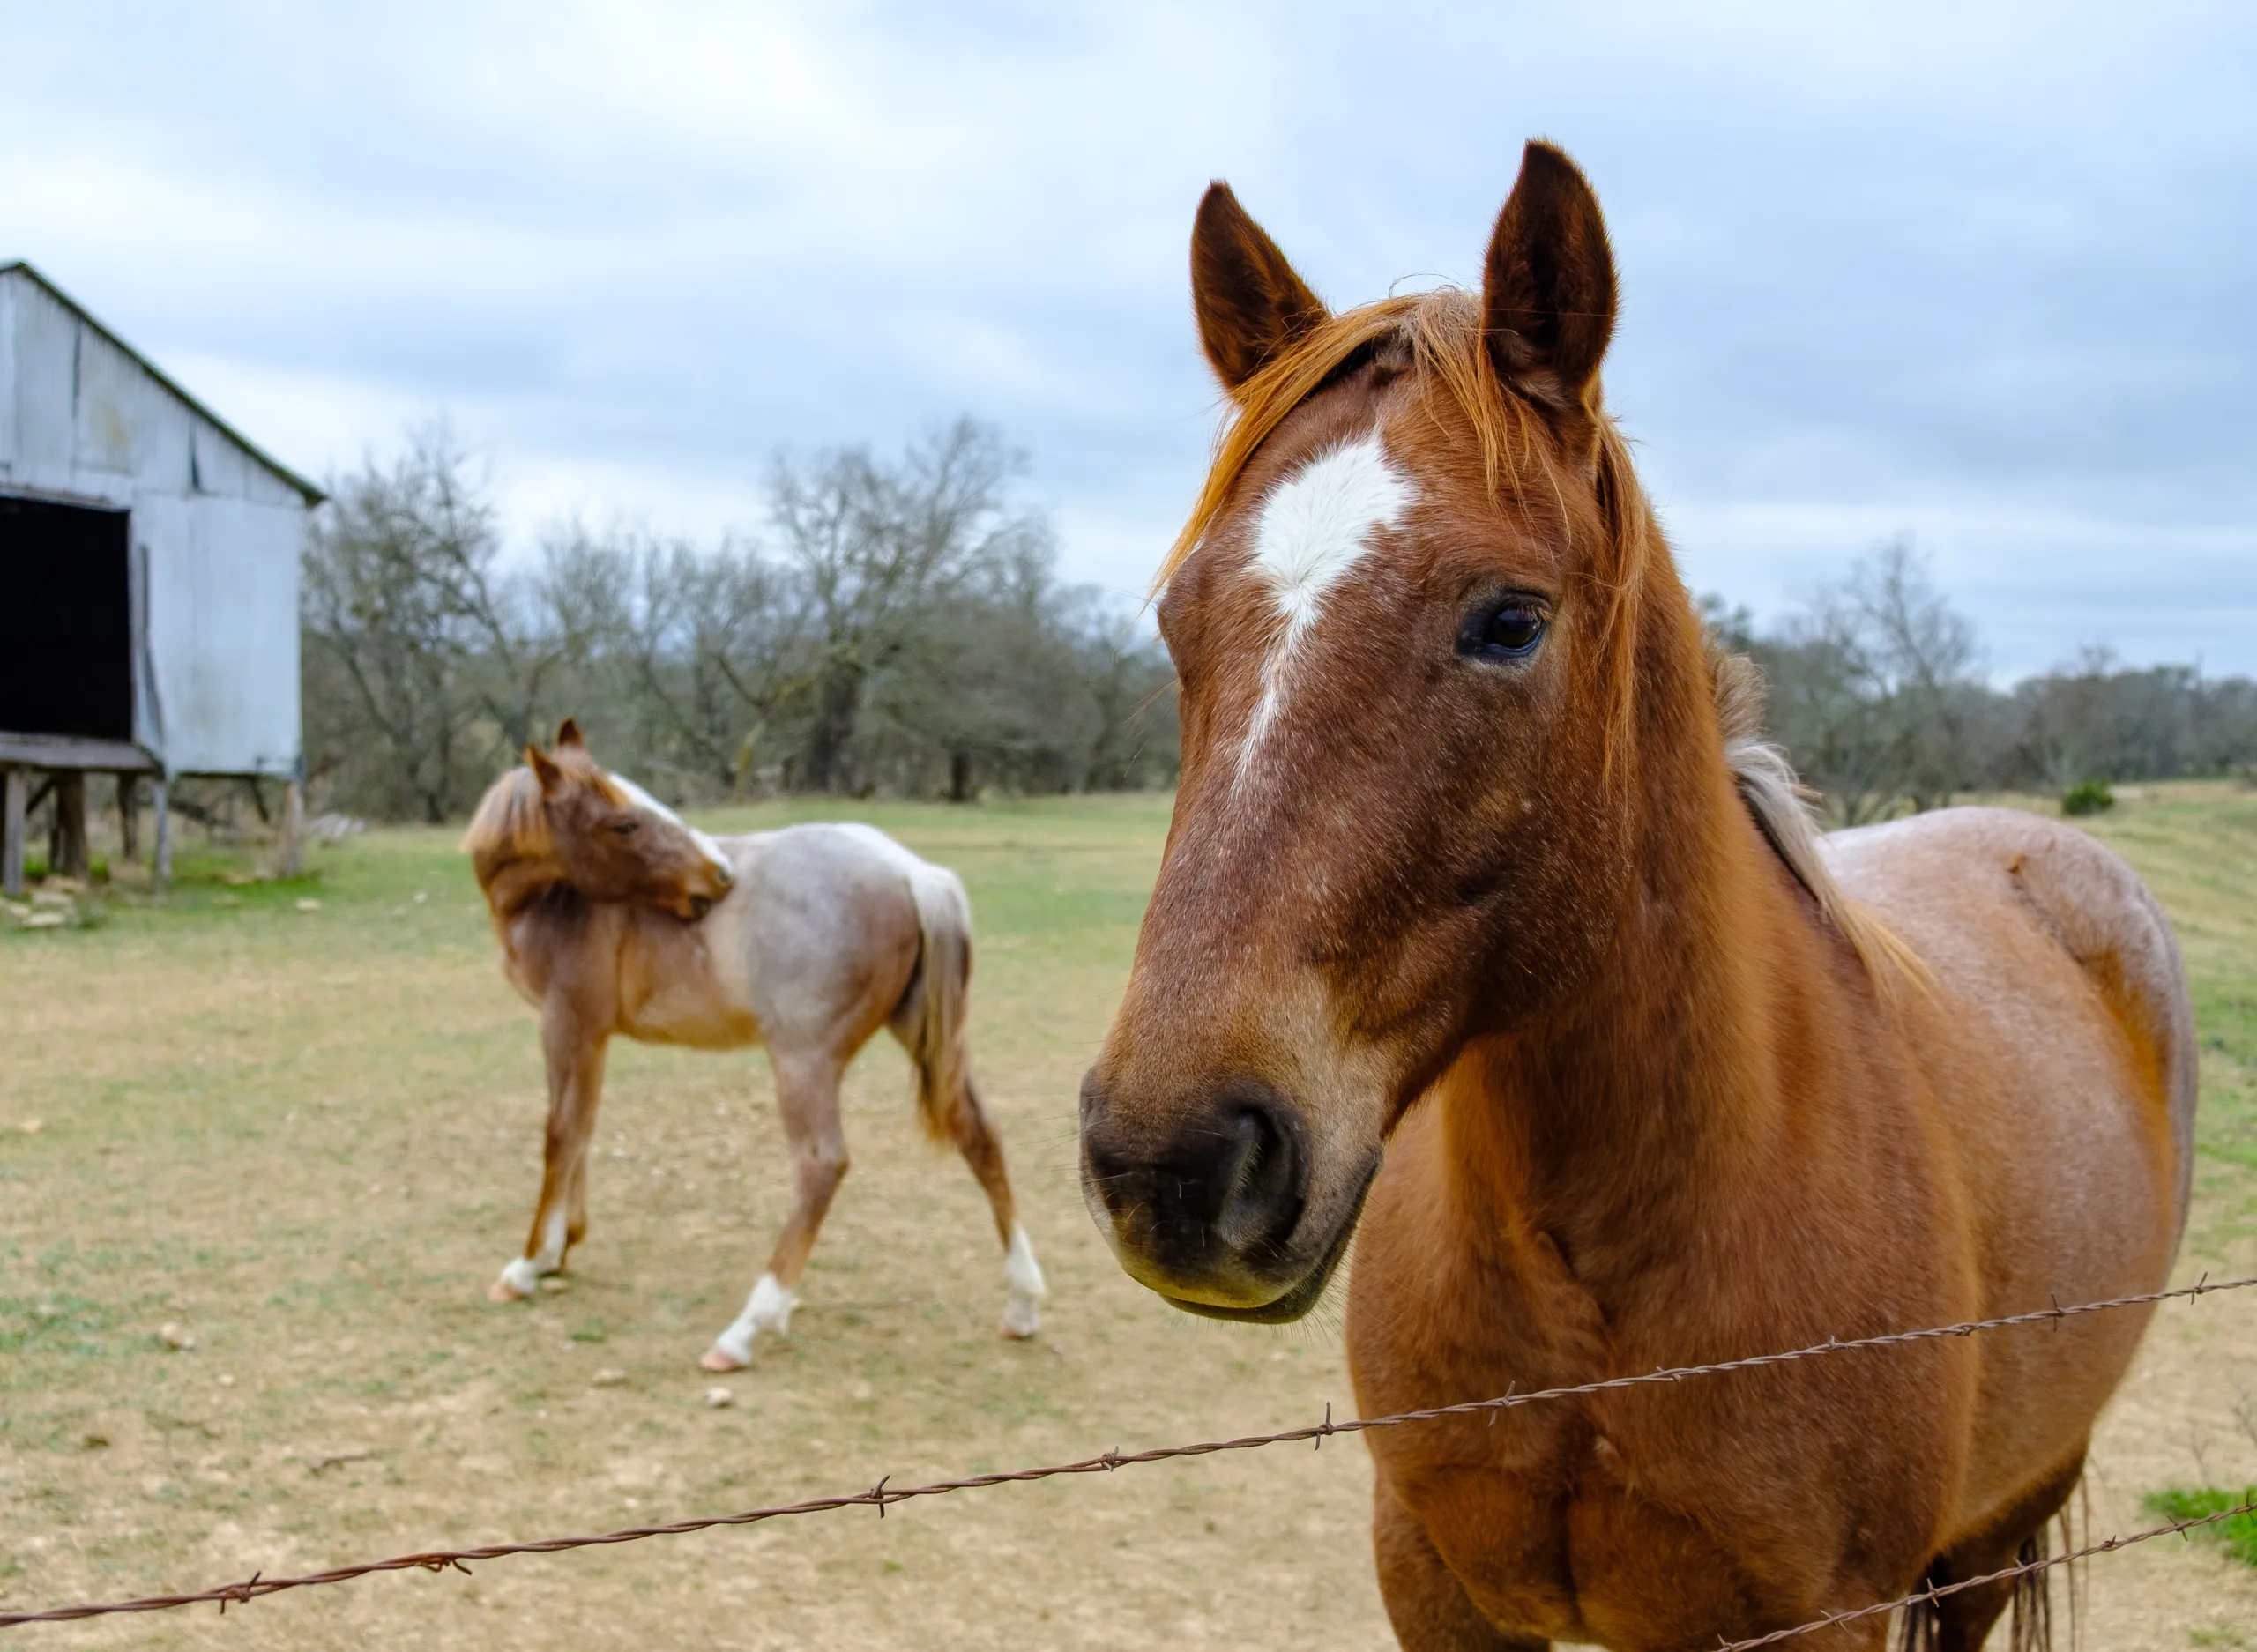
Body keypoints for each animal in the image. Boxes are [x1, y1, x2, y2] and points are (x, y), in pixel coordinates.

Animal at [464, 720, 1046, 1373]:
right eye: (624, 823)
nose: (717, 874)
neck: (563, 901)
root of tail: (911, 873)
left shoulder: (566, 1026)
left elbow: (560, 1133)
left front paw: (528, 1265)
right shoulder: (591, 1037)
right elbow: (583, 1127)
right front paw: (563, 1246)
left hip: (801, 1063)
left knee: (822, 1166)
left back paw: (746, 1328)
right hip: (921, 1038)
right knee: (981, 1138)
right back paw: (1022, 1304)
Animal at [1076, 143, 2194, 1650]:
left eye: (1509, 621)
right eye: (1176, 624)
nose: (1175, 1161)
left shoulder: (1821, 1614)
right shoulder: (1433, 1579)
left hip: (2002, 1518)